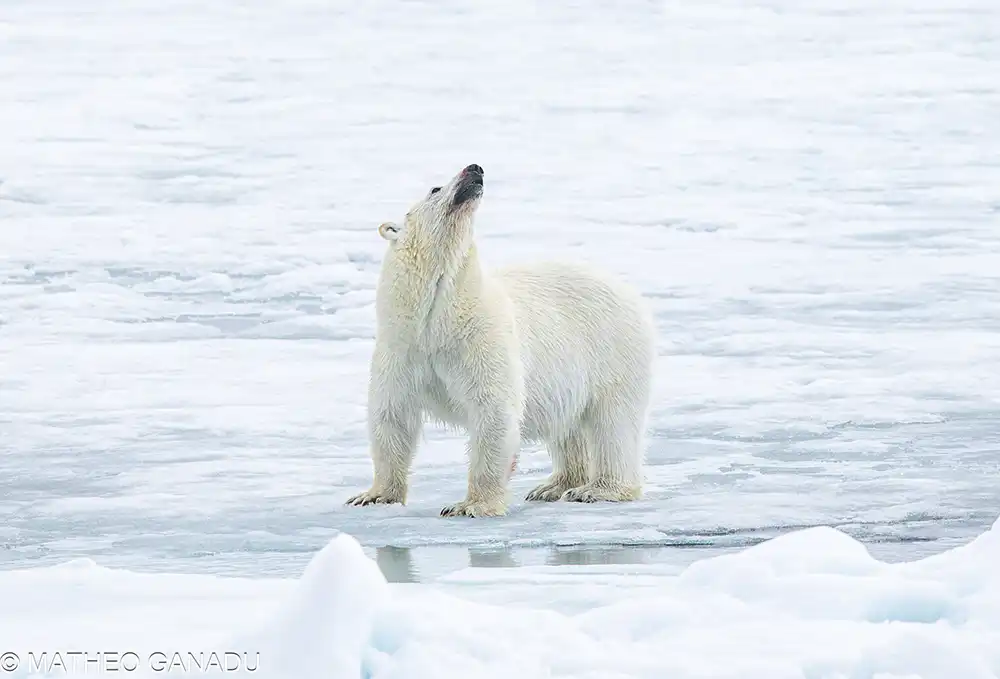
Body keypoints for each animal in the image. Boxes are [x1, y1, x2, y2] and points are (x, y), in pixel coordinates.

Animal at [344, 166, 656, 520]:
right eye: (435, 188)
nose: (474, 169)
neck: (437, 318)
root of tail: (626, 288)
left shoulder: (481, 341)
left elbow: (492, 411)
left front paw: (470, 506)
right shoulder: (401, 348)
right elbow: (392, 416)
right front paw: (373, 496)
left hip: (612, 348)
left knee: (613, 422)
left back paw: (598, 489)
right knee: (569, 423)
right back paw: (554, 486)